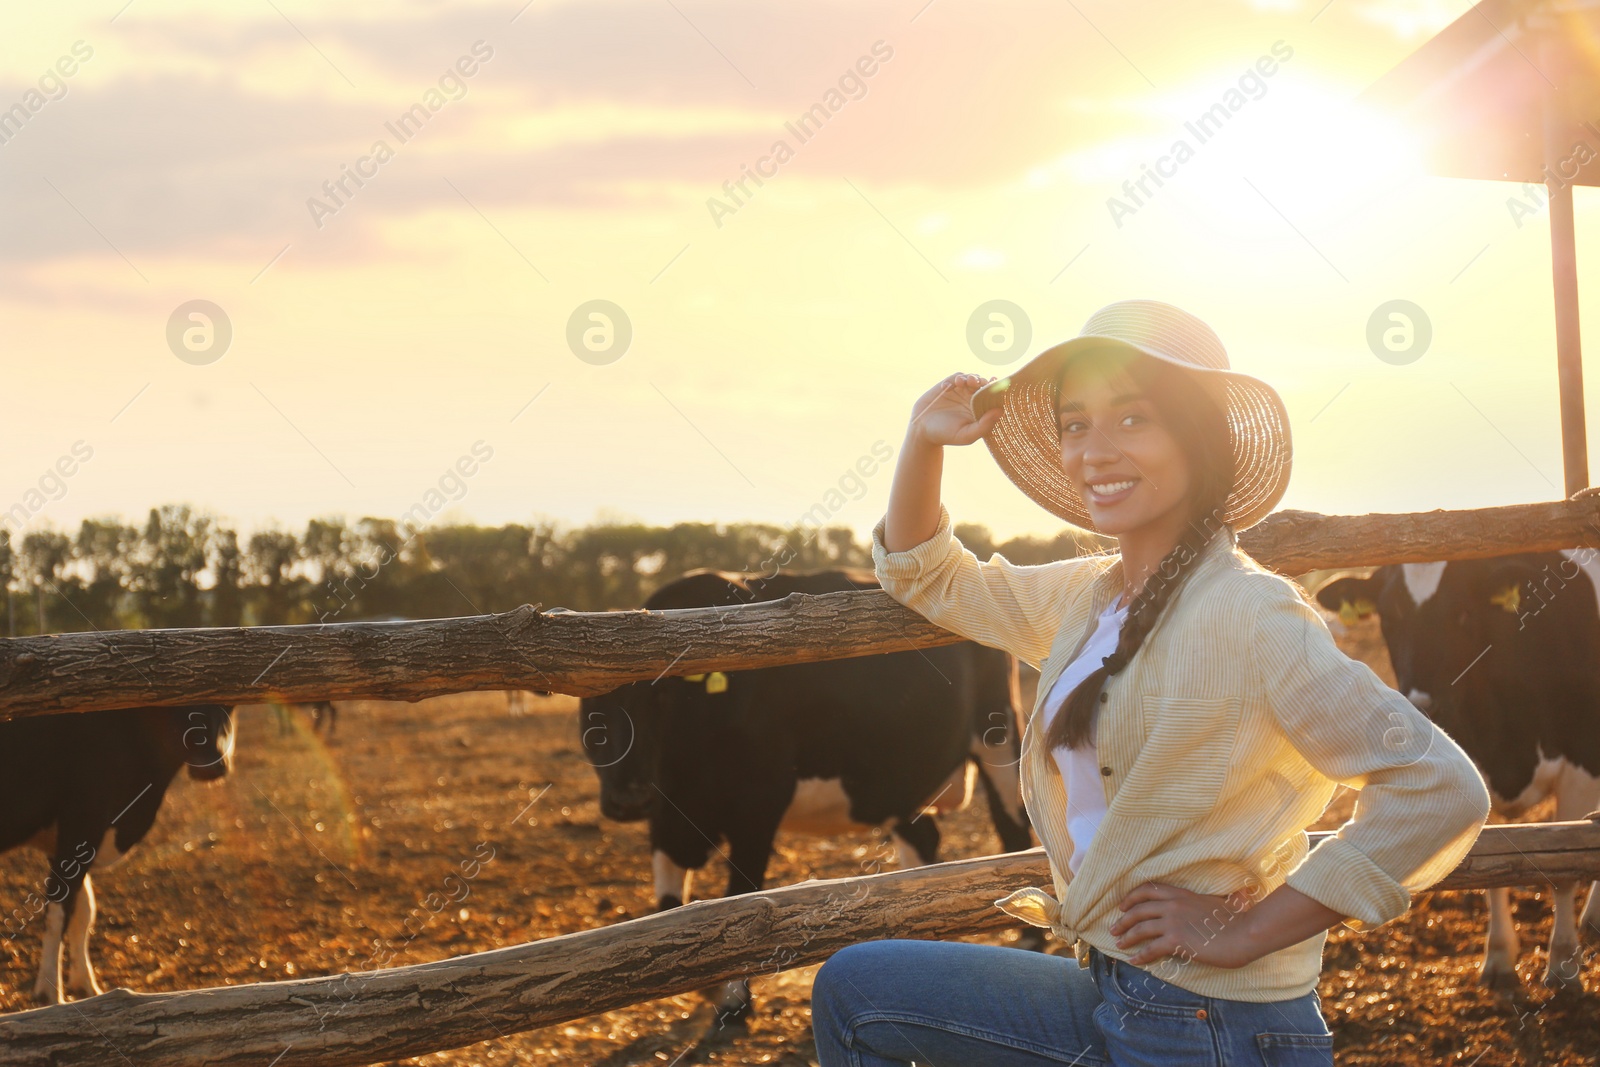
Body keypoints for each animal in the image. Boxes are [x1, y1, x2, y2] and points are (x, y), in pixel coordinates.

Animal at [0, 703, 235, 1004]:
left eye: (227, 702)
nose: (212, 765)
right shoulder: (82, 821)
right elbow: (58, 912)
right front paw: (50, 994)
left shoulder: (69, 839)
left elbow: (84, 911)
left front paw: (85, 986)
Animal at [579, 566, 1036, 1023]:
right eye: (589, 707)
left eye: (661, 697)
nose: (628, 799)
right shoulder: (666, 817)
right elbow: (669, 903)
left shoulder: (759, 807)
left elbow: (742, 898)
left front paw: (735, 1001)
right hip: (896, 779)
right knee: (923, 842)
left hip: (1000, 735)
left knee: (1013, 828)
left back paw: (1030, 935)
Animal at [1318, 556, 1600, 998]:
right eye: (1389, 615)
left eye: (1464, 613)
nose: (1421, 705)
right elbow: (1493, 868)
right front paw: (1499, 958)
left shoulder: (1581, 769)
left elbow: (1564, 873)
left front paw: (1562, 966)